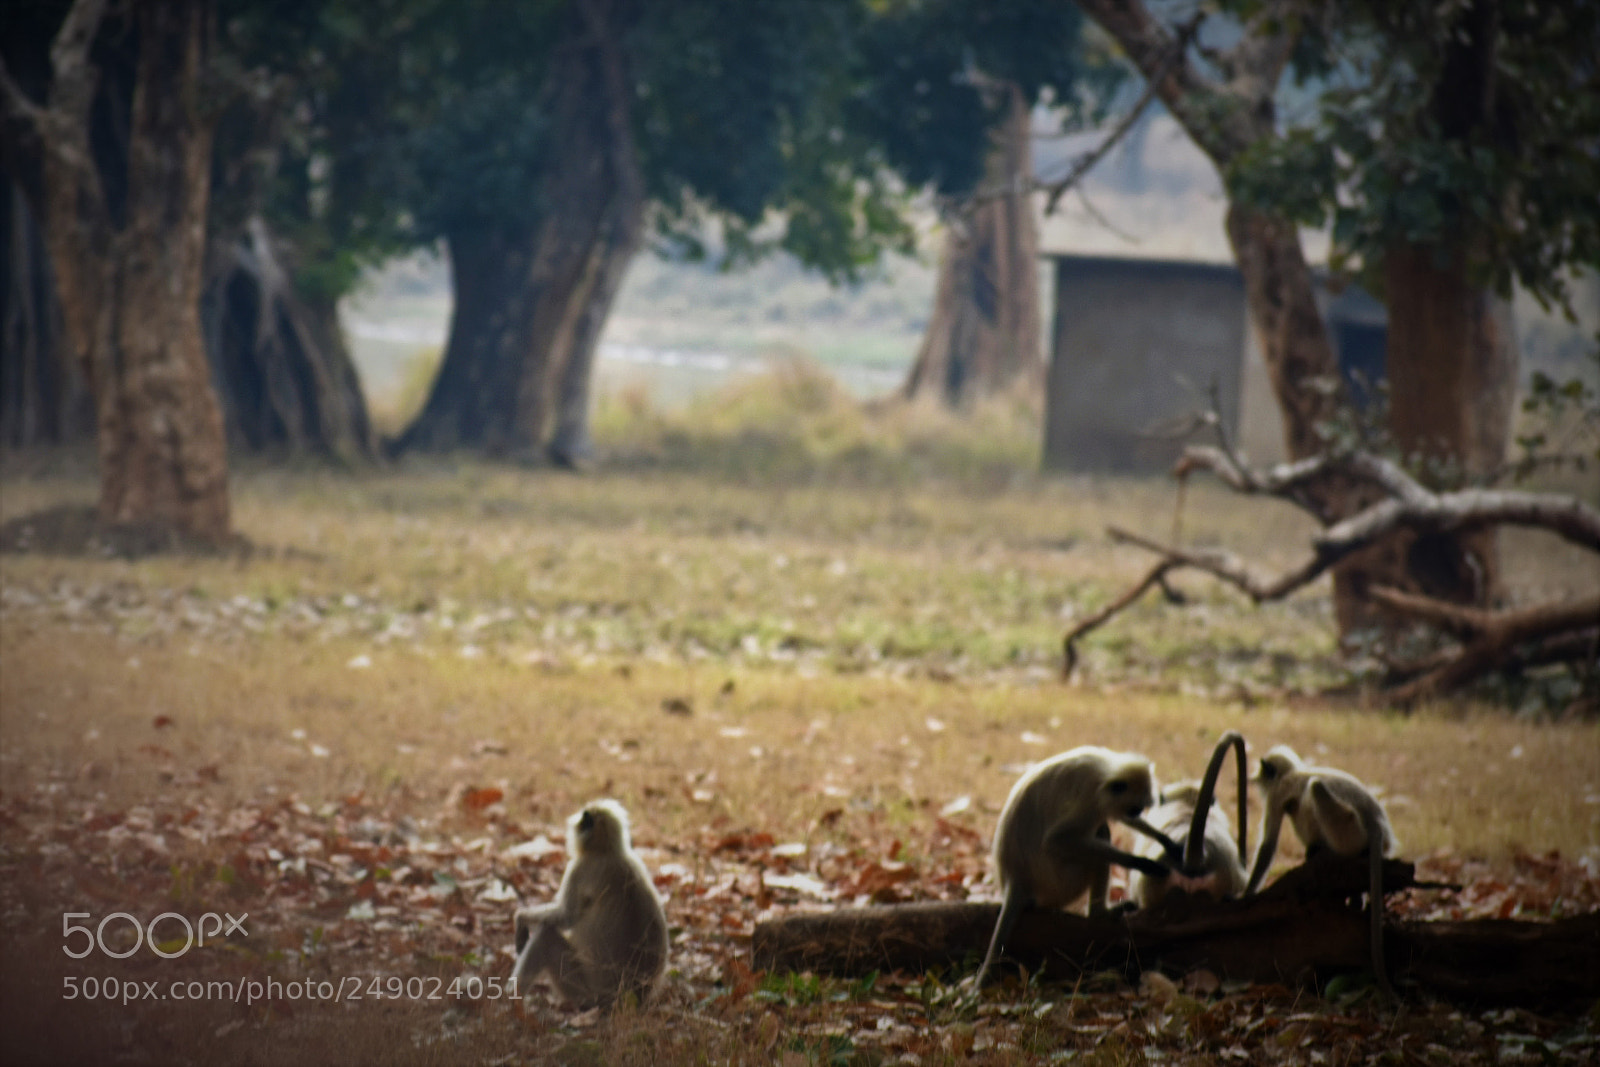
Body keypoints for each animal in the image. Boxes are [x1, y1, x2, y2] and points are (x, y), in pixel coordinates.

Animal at [511, 799, 669, 1009]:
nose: (578, 817)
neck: (606, 851)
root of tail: (631, 995)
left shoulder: (579, 869)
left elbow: (566, 917)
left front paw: (520, 918)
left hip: (584, 991)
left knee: (546, 935)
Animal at [973, 746, 1181, 987]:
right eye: (1135, 808)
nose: (1136, 813)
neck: (1104, 770)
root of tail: (1015, 879)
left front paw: (1166, 841)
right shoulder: (1091, 801)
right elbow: (1056, 841)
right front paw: (1140, 863)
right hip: (1060, 883)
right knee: (1100, 837)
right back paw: (1100, 914)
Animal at [1246, 745, 1399, 998]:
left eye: (1262, 772)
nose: (1253, 779)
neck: (1293, 773)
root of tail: (1376, 824)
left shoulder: (1277, 794)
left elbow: (1268, 846)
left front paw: (1245, 895)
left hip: (1348, 827)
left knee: (1315, 788)